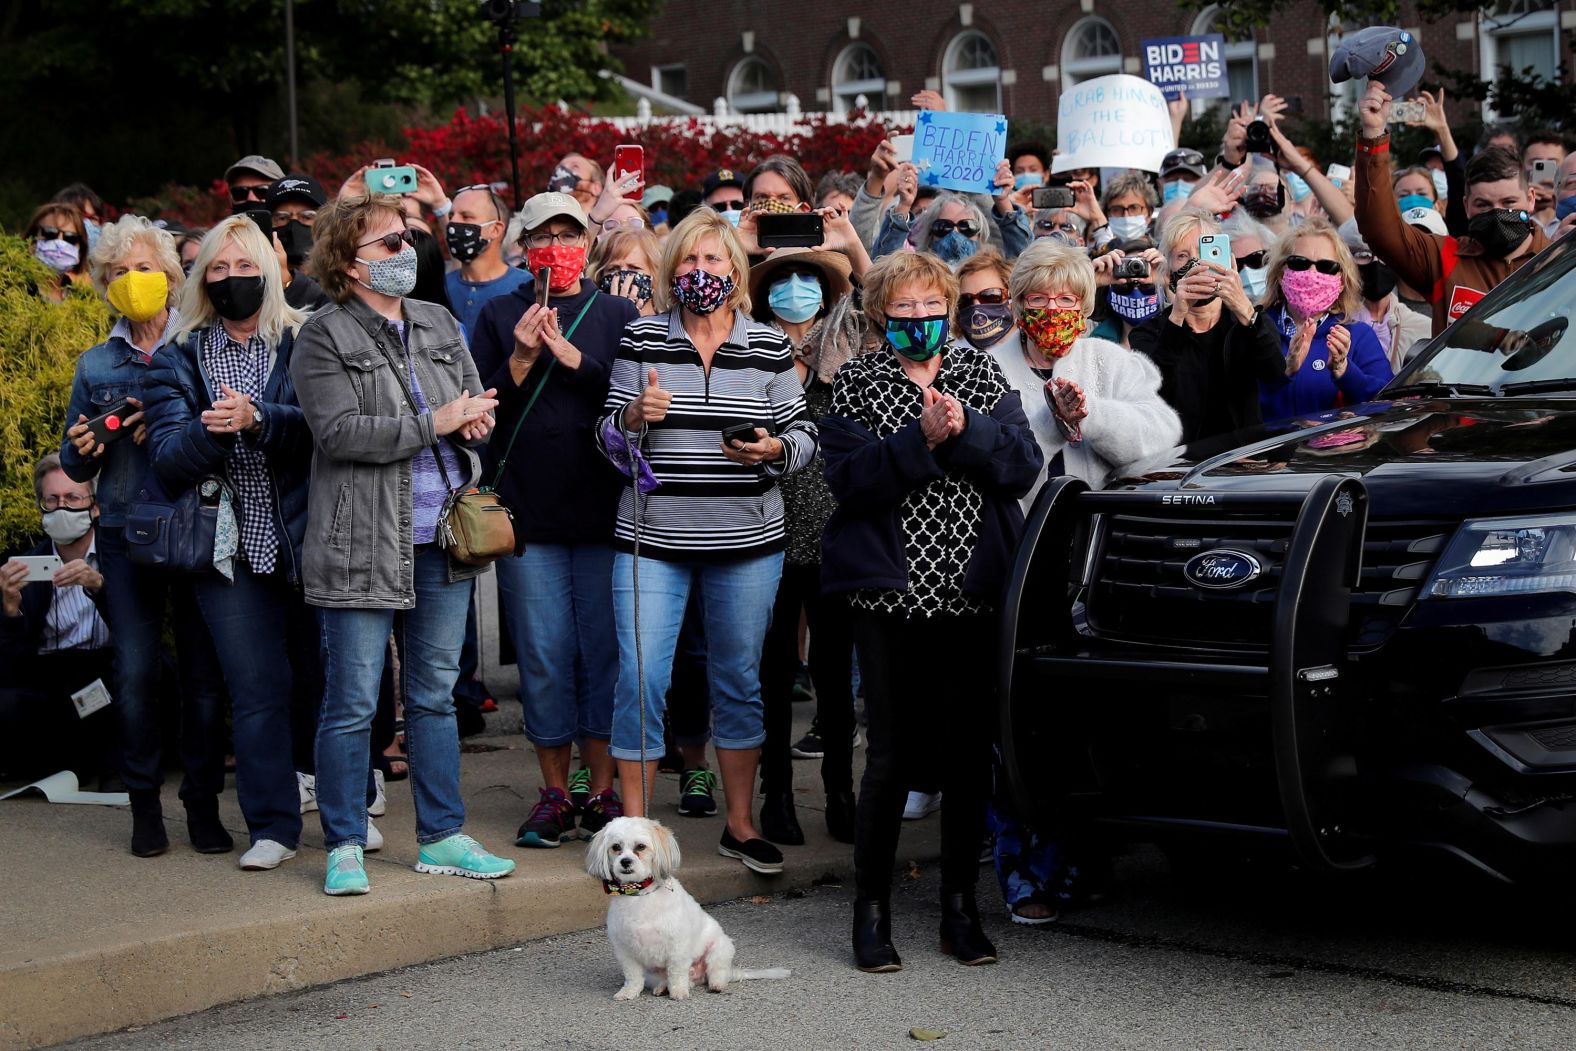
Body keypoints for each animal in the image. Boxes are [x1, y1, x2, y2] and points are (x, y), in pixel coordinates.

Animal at [586, 813, 788, 1002]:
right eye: (616, 847)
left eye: (641, 847)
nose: (625, 861)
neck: (639, 895)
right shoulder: (626, 951)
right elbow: (633, 976)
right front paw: (628, 992)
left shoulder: (678, 947)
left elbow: (676, 973)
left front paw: (679, 993)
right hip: (652, 972)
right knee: (672, 979)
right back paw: (662, 987)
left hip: (719, 949)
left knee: (716, 972)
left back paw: (715, 984)